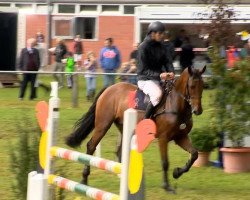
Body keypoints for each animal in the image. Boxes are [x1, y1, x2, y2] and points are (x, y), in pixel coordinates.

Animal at [65, 66, 206, 192]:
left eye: (203, 86)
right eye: (192, 86)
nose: (197, 111)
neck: (176, 105)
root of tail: (109, 88)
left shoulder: (180, 137)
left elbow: (194, 154)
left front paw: (177, 172)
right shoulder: (163, 138)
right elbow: (165, 162)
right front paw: (167, 186)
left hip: (123, 127)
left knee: (119, 151)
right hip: (103, 125)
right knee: (91, 146)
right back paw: (84, 179)